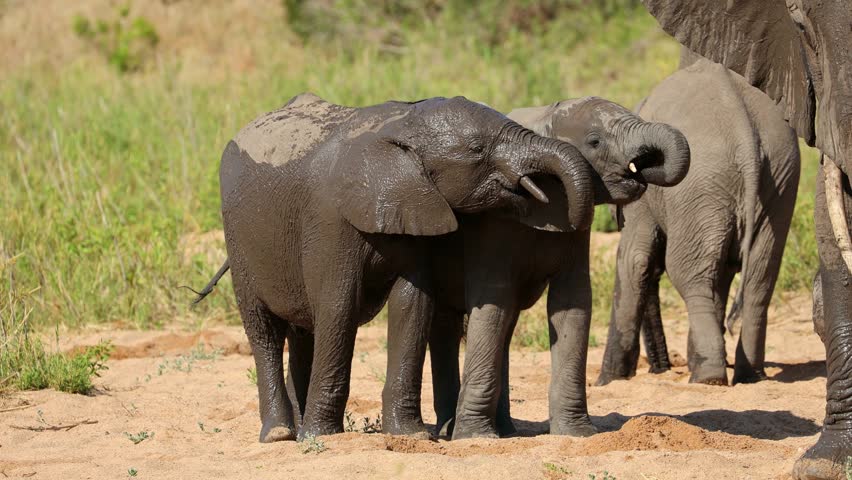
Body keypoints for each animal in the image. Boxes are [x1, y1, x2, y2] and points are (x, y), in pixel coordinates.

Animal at [191, 92, 600, 442]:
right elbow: (338, 306)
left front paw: (411, 436)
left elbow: (412, 303)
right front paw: (322, 437)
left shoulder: (418, 209)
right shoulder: (329, 219)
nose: (568, 218)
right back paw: (279, 433)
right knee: (264, 330)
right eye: (478, 150)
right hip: (238, 238)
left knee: (301, 331)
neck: (403, 123)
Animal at [384, 96, 690, 439]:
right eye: (595, 142)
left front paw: (578, 433)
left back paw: (505, 432)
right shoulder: (493, 227)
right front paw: (475, 436)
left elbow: (572, 304)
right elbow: (494, 302)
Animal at [596, 52, 801, 387]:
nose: (660, 369)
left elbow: (634, 260)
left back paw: (708, 378)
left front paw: (606, 383)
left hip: (701, 182)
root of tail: (746, 133)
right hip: (777, 182)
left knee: (690, 275)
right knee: (759, 278)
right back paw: (750, 377)